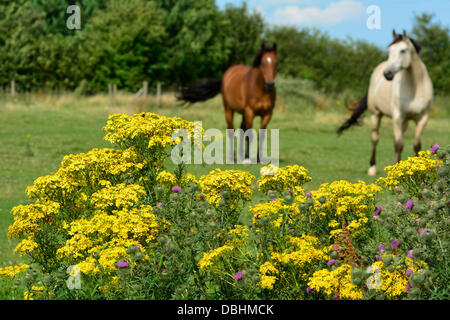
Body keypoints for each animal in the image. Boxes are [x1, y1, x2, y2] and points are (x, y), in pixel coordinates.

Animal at [340, 29, 434, 175]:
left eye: (402, 50)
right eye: (389, 50)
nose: (387, 74)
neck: (415, 87)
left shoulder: (422, 119)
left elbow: (416, 146)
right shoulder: (397, 117)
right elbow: (398, 145)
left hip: (404, 122)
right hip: (375, 115)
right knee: (375, 138)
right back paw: (372, 168)